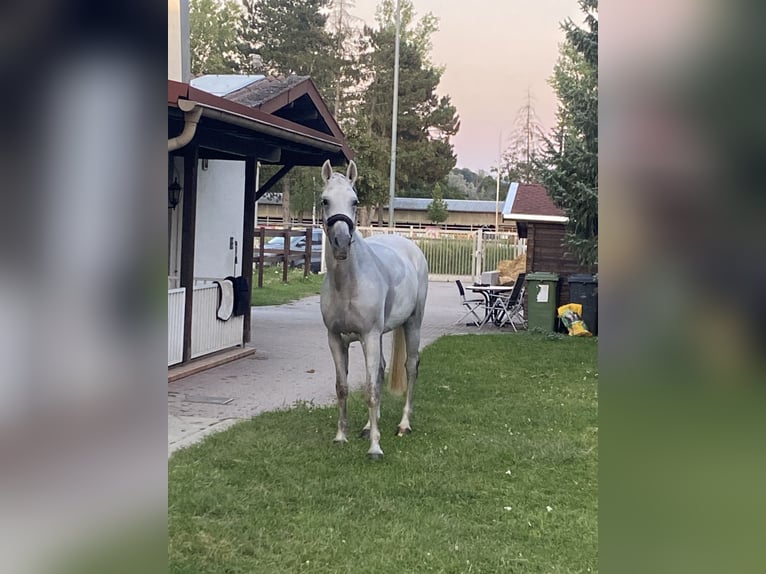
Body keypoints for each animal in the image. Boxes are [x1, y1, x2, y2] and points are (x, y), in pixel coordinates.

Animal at [320, 160, 432, 462]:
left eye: (355, 201)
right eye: (325, 201)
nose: (341, 242)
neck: (348, 284)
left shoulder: (369, 335)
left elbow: (370, 390)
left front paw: (375, 448)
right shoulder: (336, 339)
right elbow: (343, 387)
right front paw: (341, 436)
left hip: (413, 323)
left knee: (411, 367)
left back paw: (403, 424)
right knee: (380, 370)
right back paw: (370, 426)